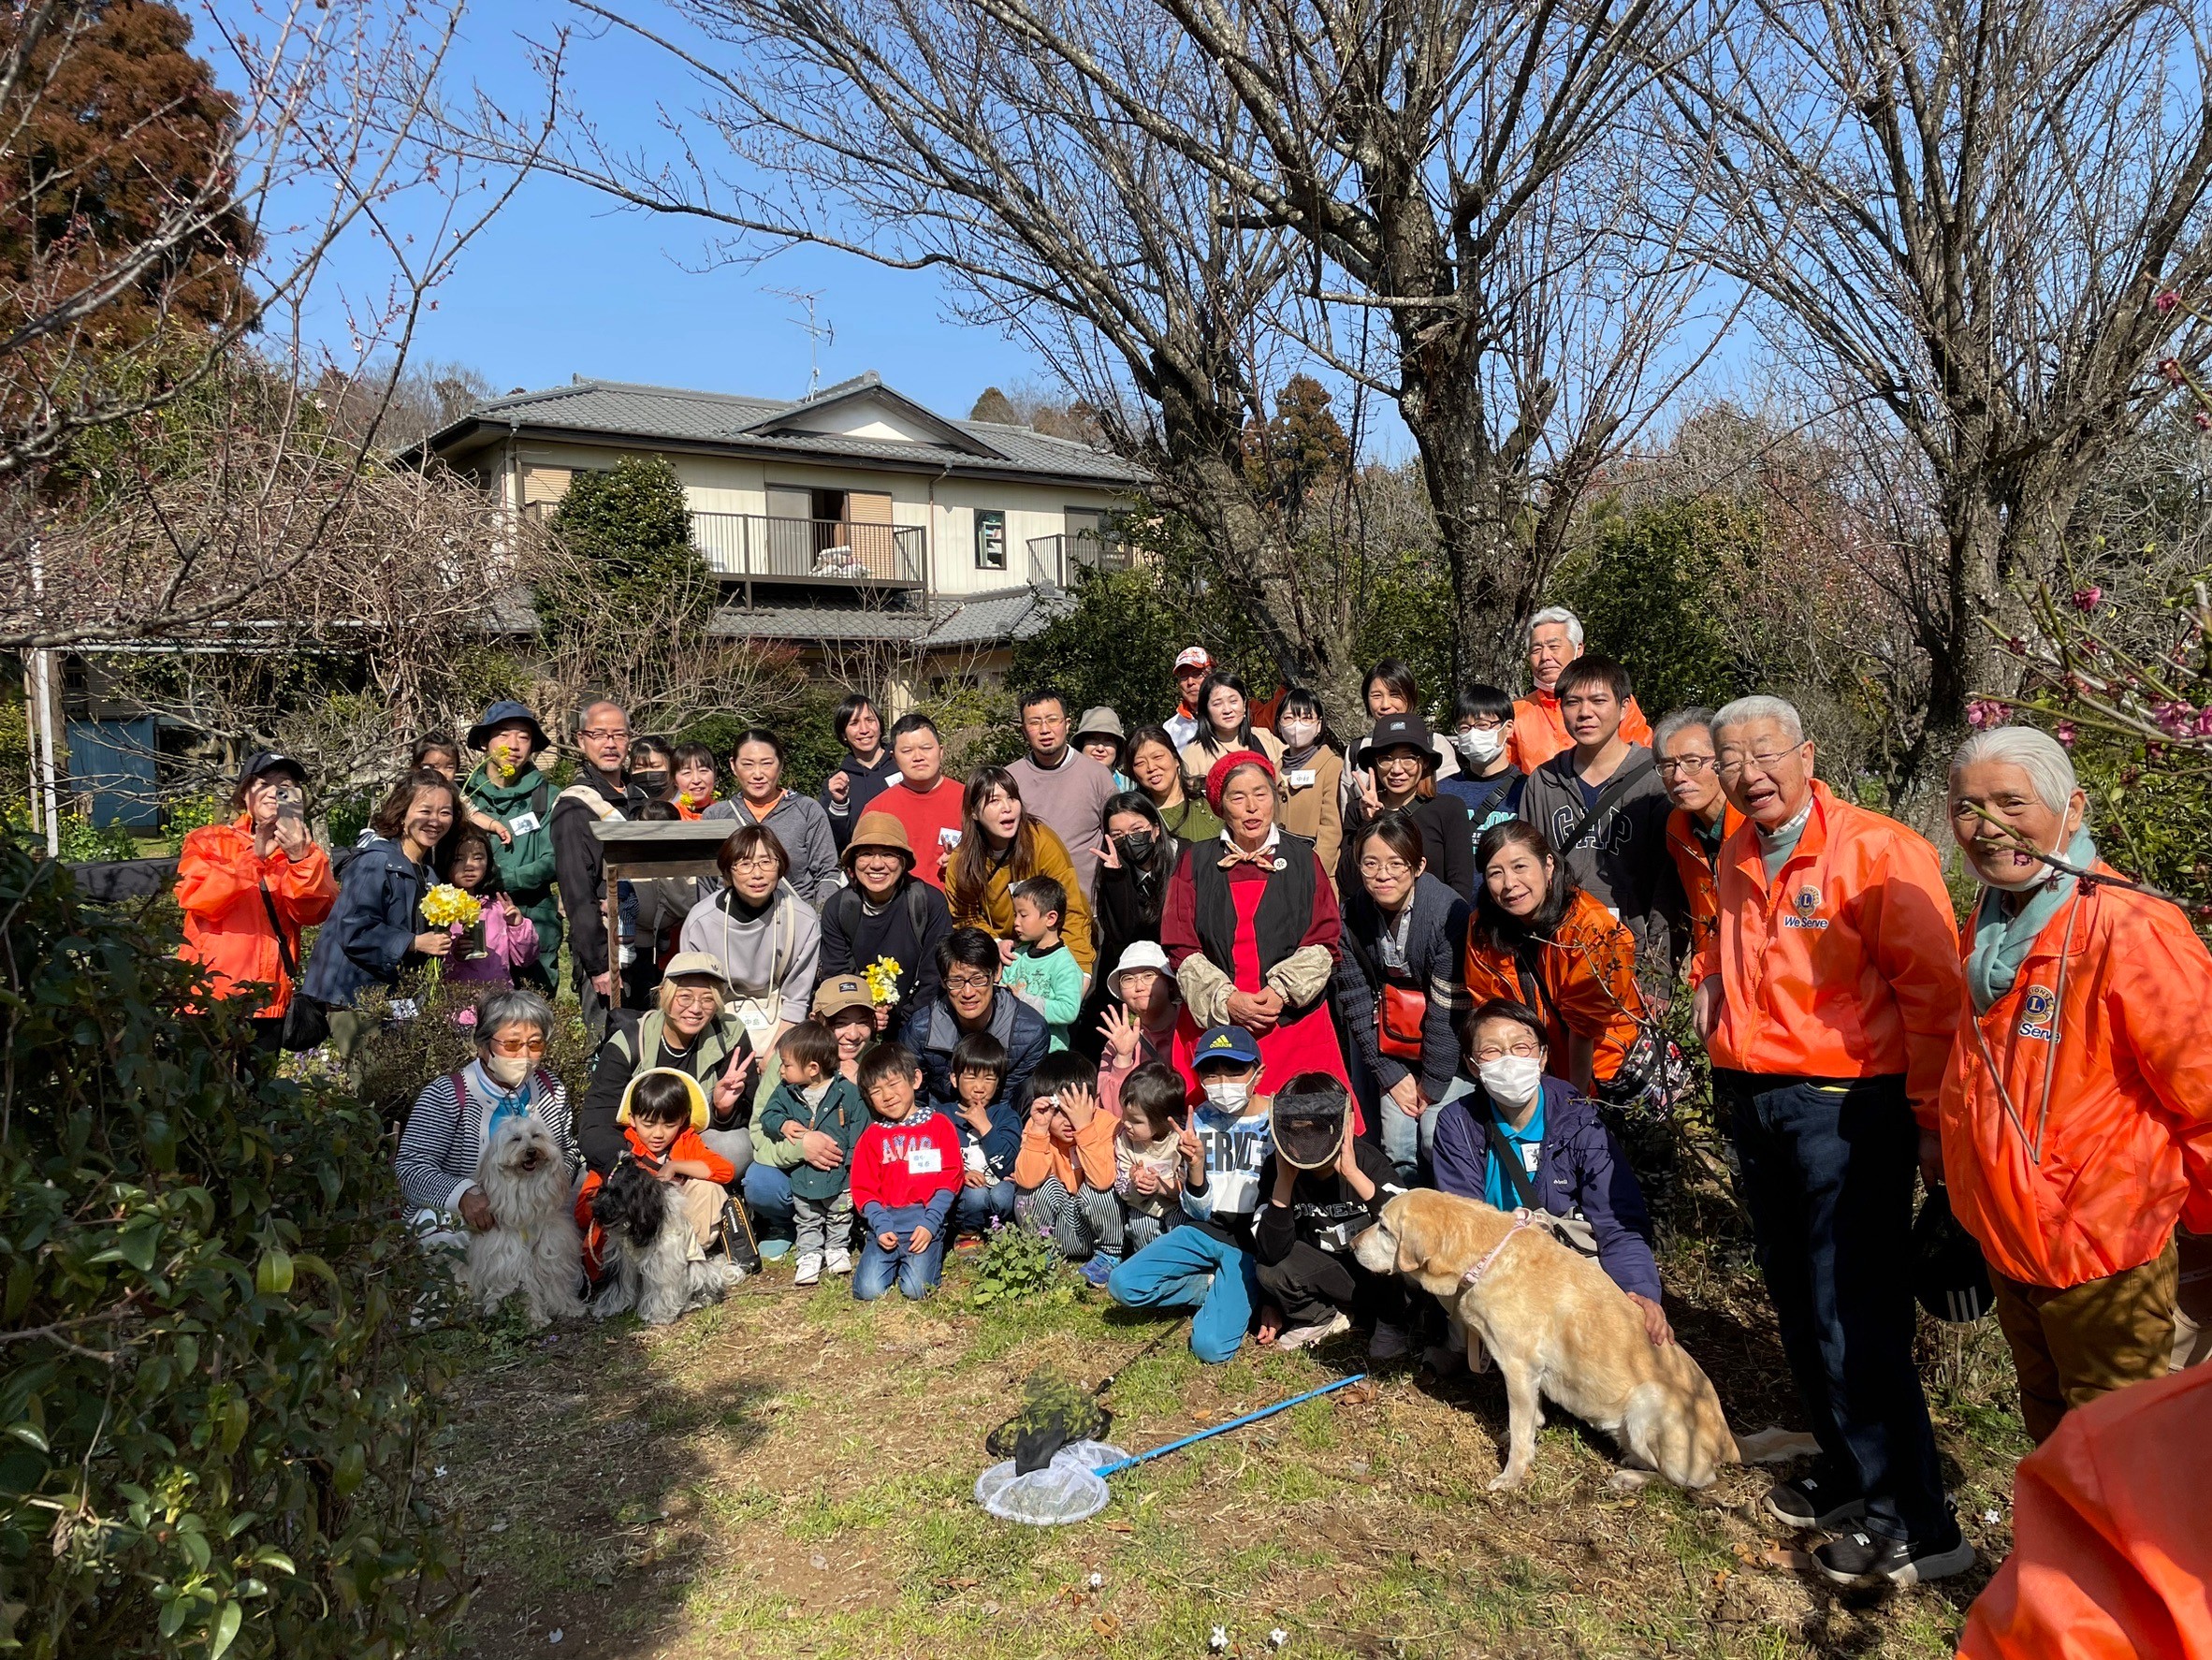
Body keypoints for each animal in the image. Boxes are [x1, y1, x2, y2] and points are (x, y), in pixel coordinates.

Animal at [459, 1111, 588, 1336]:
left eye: (536, 1135)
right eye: (515, 1139)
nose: (531, 1152)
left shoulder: (550, 1251)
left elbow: (557, 1283)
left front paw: (569, 1308)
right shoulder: (512, 1261)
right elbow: (526, 1290)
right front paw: (535, 1319)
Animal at [588, 1159, 743, 1336]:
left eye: (618, 1194)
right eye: (602, 1190)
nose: (596, 1211)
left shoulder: (661, 1264)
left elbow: (662, 1290)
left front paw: (659, 1315)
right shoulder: (622, 1261)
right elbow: (618, 1288)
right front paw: (607, 1309)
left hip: (697, 1271)